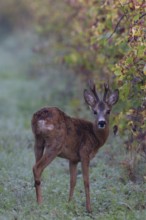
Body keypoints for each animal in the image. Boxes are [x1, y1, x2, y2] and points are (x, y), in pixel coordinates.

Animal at [31, 80, 118, 212]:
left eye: (108, 111)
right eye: (94, 111)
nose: (102, 122)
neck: (95, 136)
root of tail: (39, 117)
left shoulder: (73, 159)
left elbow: (72, 181)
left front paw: (69, 203)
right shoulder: (84, 152)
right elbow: (86, 181)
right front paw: (89, 209)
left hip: (38, 141)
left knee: (36, 166)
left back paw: (37, 200)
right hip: (55, 144)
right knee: (37, 168)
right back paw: (40, 203)